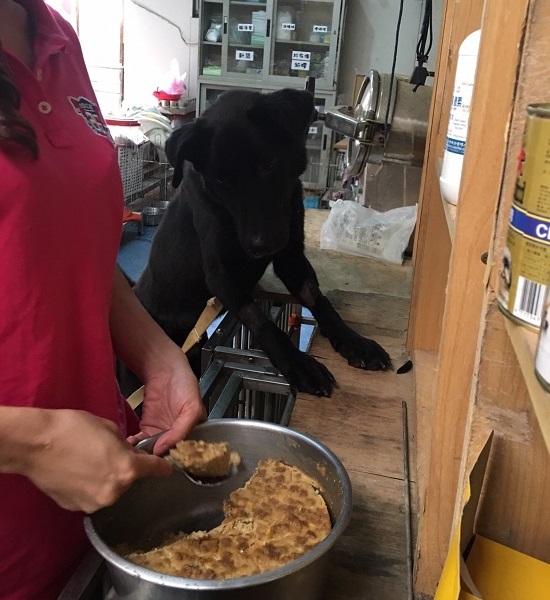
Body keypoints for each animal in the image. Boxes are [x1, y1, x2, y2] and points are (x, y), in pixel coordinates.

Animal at [122, 88, 392, 398]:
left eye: (269, 164)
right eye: (221, 181)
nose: (260, 246)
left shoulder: (292, 258)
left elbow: (319, 300)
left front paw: (352, 339)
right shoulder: (221, 275)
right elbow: (257, 318)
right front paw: (298, 363)